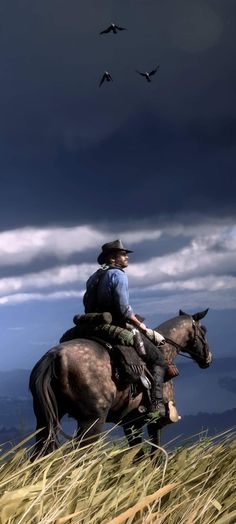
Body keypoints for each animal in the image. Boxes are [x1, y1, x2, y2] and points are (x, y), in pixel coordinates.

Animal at [29, 310, 212, 456]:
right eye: (203, 330)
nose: (208, 358)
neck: (166, 352)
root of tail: (53, 358)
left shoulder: (131, 423)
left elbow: (138, 456)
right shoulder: (155, 423)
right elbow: (155, 456)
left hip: (44, 421)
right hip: (91, 421)